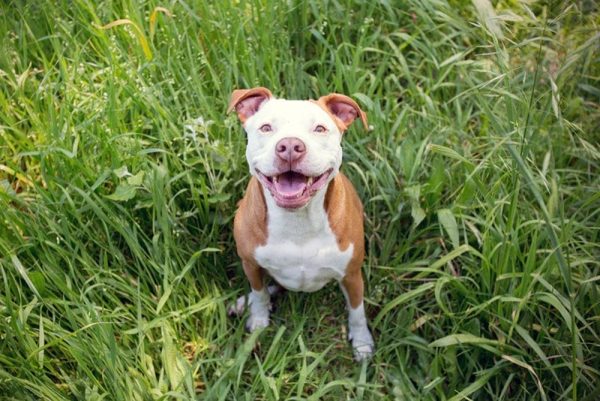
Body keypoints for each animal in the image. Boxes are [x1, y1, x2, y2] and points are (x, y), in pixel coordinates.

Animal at [227, 86, 372, 360]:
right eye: (266, 127)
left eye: (320, 129)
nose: (290, 146)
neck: (297, 222)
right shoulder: (250, 263)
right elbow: (259, 293)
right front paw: (259, 319)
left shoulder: (351, 274)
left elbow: (357, 311)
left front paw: (362, 342)